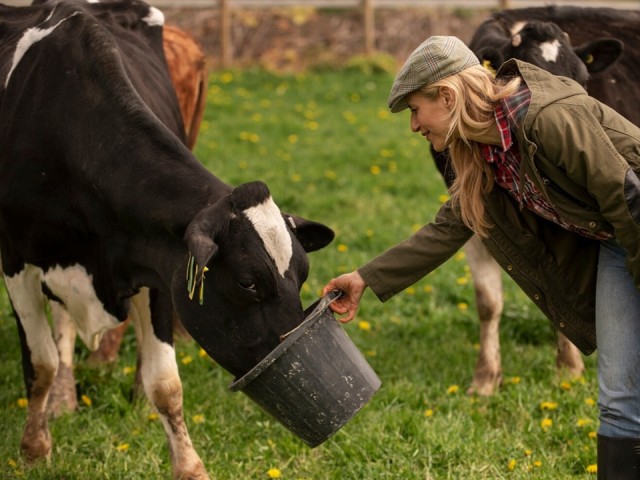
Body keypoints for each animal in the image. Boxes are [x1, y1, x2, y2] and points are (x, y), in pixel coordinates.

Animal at [1, 1, 336, 478]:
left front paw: (190, 466)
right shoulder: (16, 261)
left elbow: (165, 384)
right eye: (247, 282)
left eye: (303, 275)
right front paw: (34, 449)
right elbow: (40, 362)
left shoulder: (159, 263)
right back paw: (64, 398)